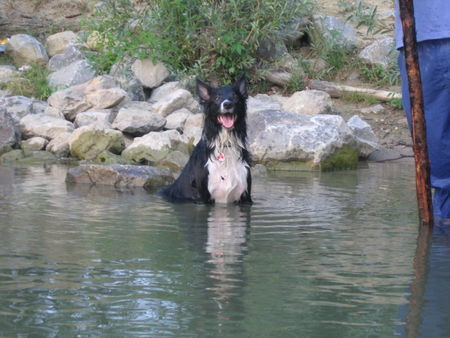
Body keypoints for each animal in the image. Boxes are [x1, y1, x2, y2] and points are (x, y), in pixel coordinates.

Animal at [163, 75, 253, 205]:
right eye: (217, 98)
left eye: (235, 97)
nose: (228, 104)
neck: (225, 144)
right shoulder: (204, 198)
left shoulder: (246, 198)